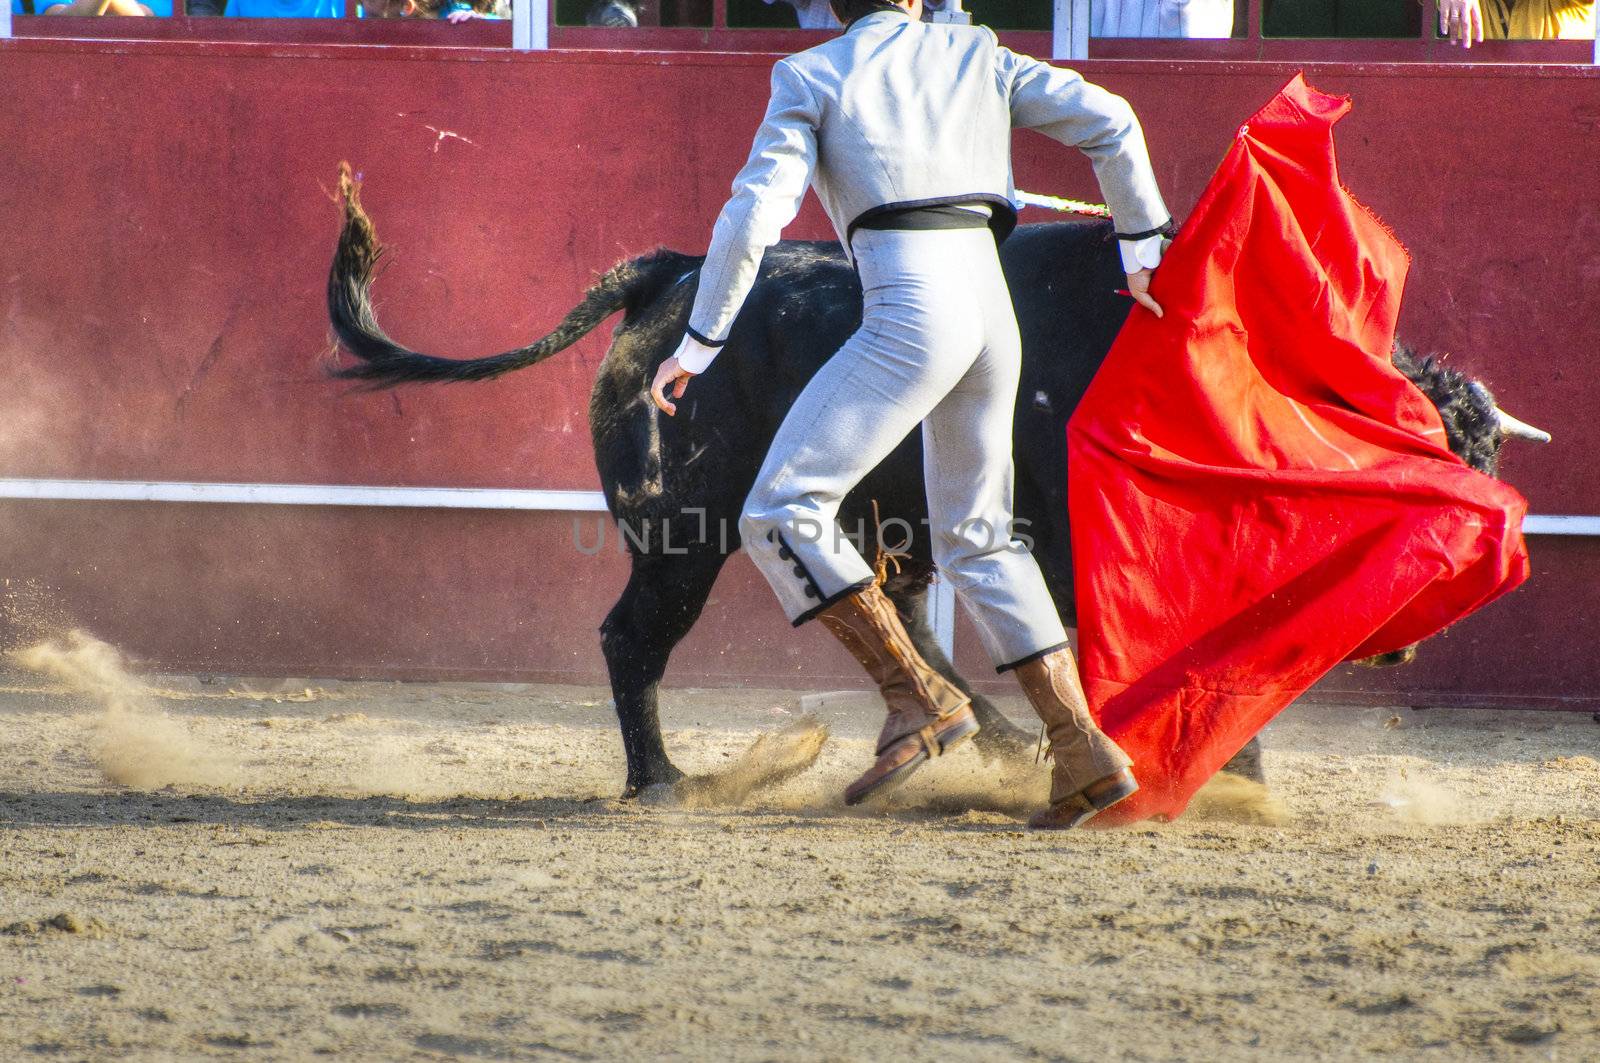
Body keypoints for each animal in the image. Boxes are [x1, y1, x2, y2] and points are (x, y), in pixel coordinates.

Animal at [324, 178, 1510, 800]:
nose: (1417, 620)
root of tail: (674, 274)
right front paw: (1219, 782)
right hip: (682, 540)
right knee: (635, 638)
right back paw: (663, 780)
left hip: (865, 515)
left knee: (894, 616)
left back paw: (978, 736)